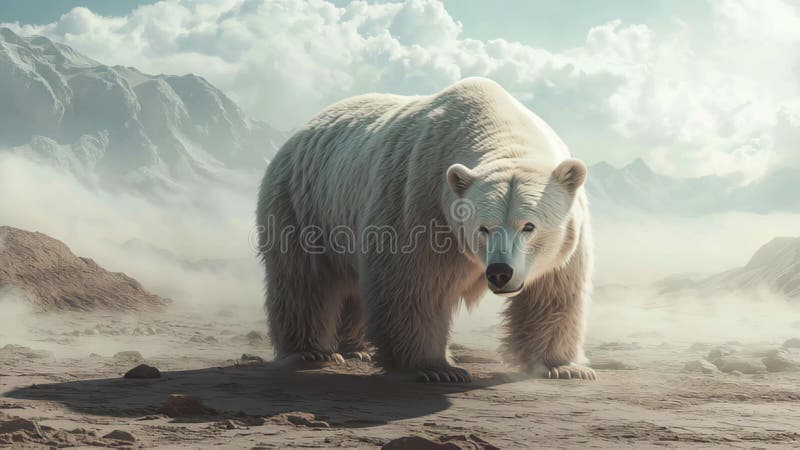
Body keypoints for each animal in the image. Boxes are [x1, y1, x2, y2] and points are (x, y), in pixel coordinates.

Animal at [256, 77, 594, 382]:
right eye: (483, 228)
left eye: (528, 226)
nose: (500, 272)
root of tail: (298, 133)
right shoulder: (422, 203)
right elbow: (412, 284)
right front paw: (436, 368)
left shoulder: (566, 242)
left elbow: (552, 294)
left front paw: (564, 367)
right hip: (302, 205)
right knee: (305, 280)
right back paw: (311, 352)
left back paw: (356, 348)